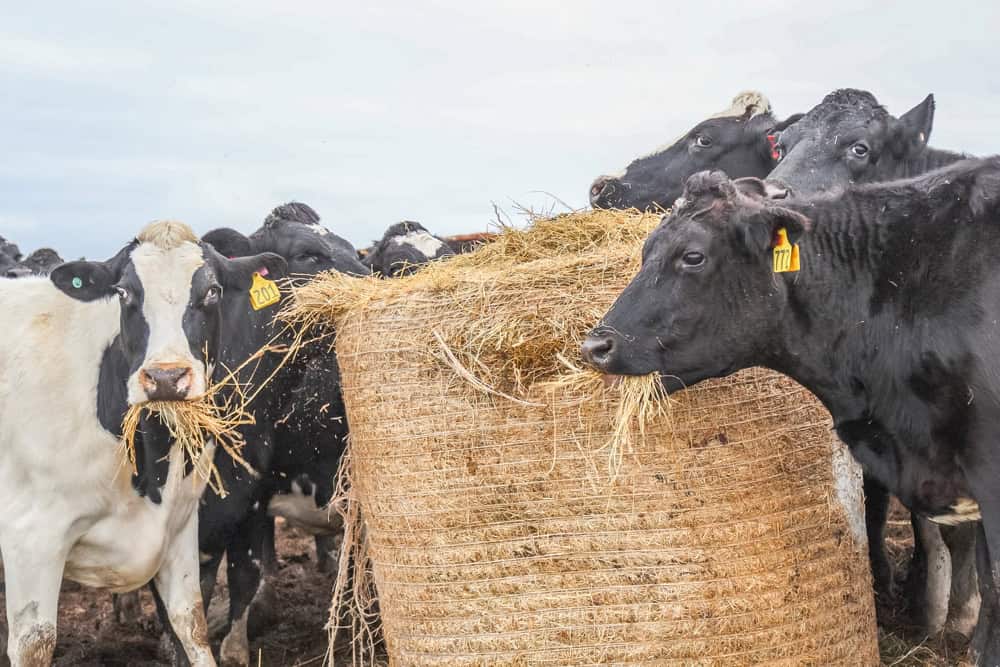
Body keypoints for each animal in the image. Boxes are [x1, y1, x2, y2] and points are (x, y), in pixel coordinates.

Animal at [0, 220, 286, 666]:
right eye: (124, 293)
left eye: (212, 290)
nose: (167, 378)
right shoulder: (29, 537)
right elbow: (35, 644)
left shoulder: (180, 523)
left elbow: (191, 623)